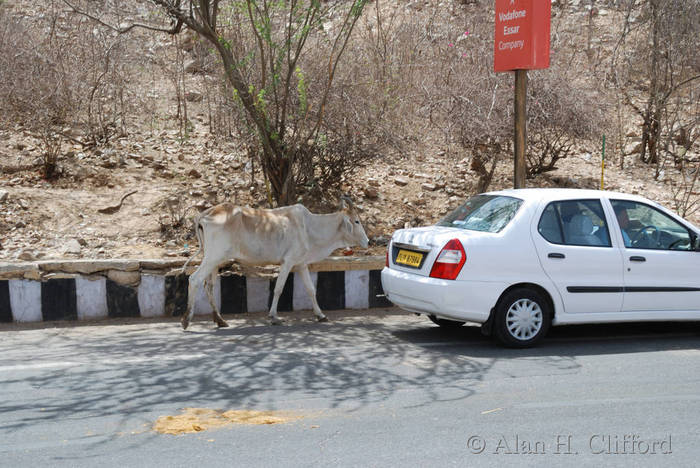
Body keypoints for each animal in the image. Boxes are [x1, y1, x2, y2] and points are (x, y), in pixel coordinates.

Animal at [180, 197, 370, 330]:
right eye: (357, 221)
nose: (367, 241)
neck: (309, 227)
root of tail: (205, 214)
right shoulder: (288, 262)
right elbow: (278, 289)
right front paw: (273, 317)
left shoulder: (301, 264)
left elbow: (311, 290)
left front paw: (321, 315)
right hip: (213, 257)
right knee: (194, 280)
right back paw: (186, 320)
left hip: (215, 260)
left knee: (209, 286)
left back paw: (220, 320)